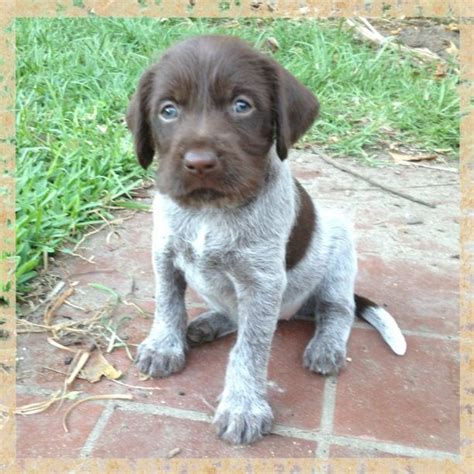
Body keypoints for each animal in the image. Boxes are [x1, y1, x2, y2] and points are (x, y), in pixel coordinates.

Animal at [127, 35, 408, 446]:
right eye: (168, 110)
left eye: (242, 106)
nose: (199, 162)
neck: (210, 212)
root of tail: (296, 311)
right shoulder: (164, 253)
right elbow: (168, 305)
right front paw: (164, 344)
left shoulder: (262, 283)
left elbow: (250, 348)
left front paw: (243, 407)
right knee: (235, 312)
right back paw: (209, 323)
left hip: (338, 242)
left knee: (337, 309)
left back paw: (326, 345)